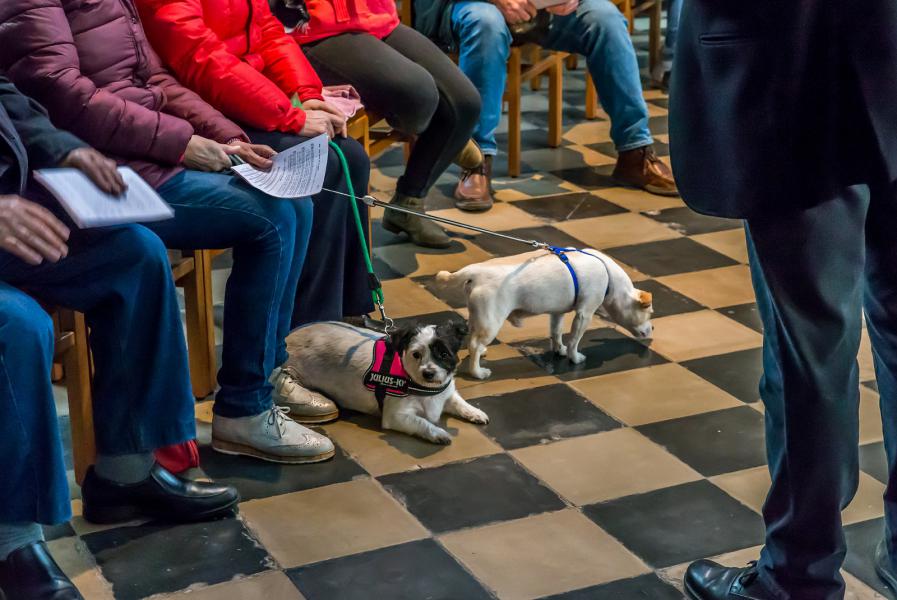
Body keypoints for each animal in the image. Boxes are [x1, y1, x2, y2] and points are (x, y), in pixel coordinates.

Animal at [284, 322, 486, 442]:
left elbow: (459, 402)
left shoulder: (447, 393)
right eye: (416, 354)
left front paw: (474, 412)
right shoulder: (396, 416)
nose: (428, 373)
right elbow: (422, 422)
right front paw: (437, 433)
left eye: (444, 354)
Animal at [438, 248, 656, 380]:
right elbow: (575, 340)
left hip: (478, 317)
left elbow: (556, 332)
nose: (653, 327)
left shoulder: (557, 313)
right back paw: (477, 372)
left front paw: (560, 349)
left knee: (472, 339)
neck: (609, 276)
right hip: (491, 322)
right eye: (649, 312)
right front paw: (574, 357)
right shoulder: (584, 314)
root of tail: (475, 272)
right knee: (475, 344)